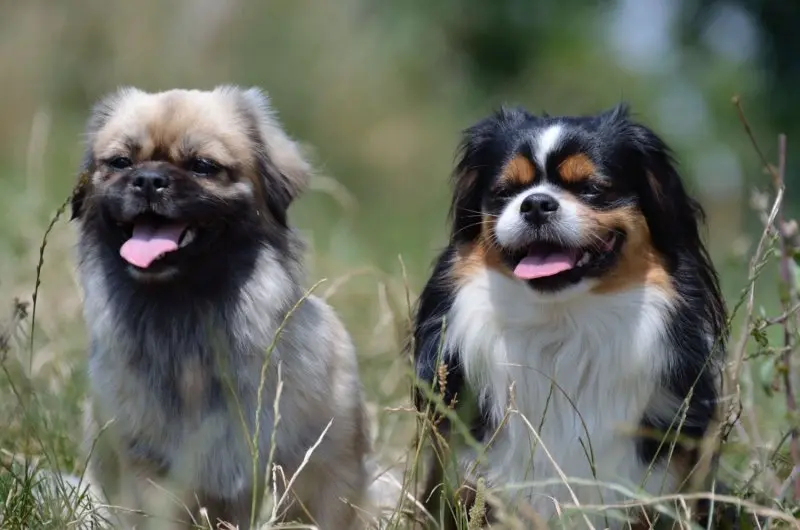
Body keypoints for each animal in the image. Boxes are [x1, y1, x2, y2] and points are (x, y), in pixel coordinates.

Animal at [70, 84, 370, 524]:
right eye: (121, 162)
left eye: (203, 166)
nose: (148, 179)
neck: (189, 317)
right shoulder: (151, 477)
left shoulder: (323, 473)